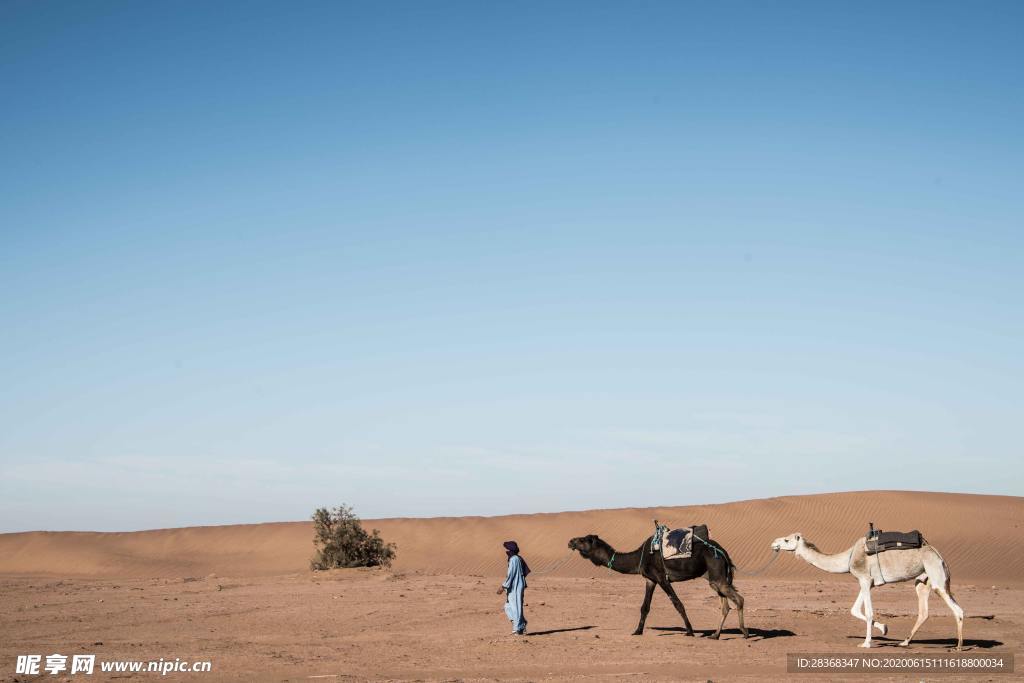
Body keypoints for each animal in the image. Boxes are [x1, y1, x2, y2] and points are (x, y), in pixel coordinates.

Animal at [569, 532, 745, 638]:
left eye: (583, 540)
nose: (570, 541)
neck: (639, 558)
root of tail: (723, 552)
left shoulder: (662, 578)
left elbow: (678, 604)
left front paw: (689, 631)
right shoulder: (650, 579)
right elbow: (645, 607)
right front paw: (637, 631)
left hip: (716, 572)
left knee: (739, 599)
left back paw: (745, 632)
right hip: (713, 577)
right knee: (725, 604)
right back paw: (715, 635)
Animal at [770, 532, 962, 651]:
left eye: (787, 540)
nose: (773, 543)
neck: (848, 557)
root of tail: (939, 556)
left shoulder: (864, 578)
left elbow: (868, 612)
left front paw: (866, 643)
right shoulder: (867, 582)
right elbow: (854, 610)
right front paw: (884, 628)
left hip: (937, 577)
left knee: (958, 610)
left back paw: (959, 646)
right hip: (922, 580)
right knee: (924, 612)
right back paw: (904, 642)